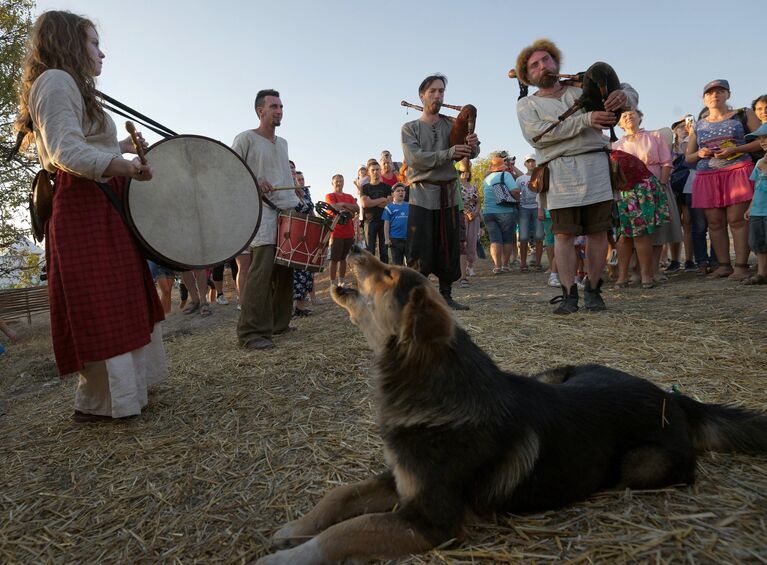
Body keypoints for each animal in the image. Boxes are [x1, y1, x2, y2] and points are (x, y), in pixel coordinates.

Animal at [258, 248, 767, 564]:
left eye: (389, 274)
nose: (357, 243)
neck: (429, 382)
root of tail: (672, 396)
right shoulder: (401, 477)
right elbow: (340, 497)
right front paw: (295, 528)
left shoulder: (432, 520)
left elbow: (346, 529)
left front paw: (288, 556)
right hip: (558, 372)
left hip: (643, 465)